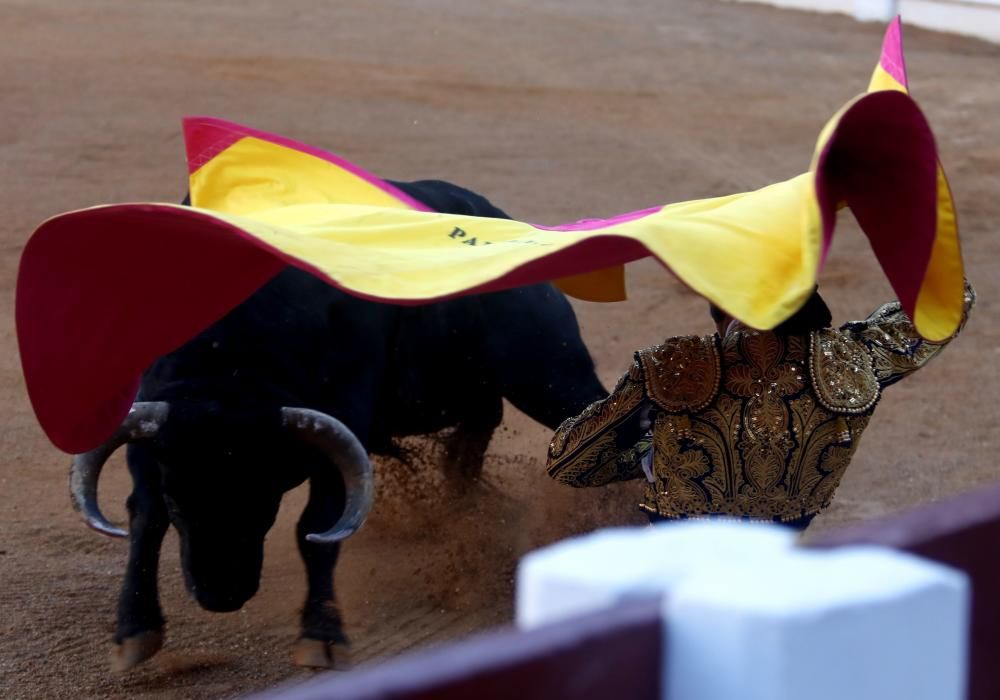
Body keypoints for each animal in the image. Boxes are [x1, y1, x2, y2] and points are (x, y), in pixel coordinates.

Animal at [74, 179, 604, 668]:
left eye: (266, 494)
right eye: (178, 496)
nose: (221, 594)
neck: (230, 368)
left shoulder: (341, 426)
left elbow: (317, 528)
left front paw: (321, 637)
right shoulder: (152, 430)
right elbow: (146, 517)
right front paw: (135, 631)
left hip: (549, 375)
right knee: (474, 437)